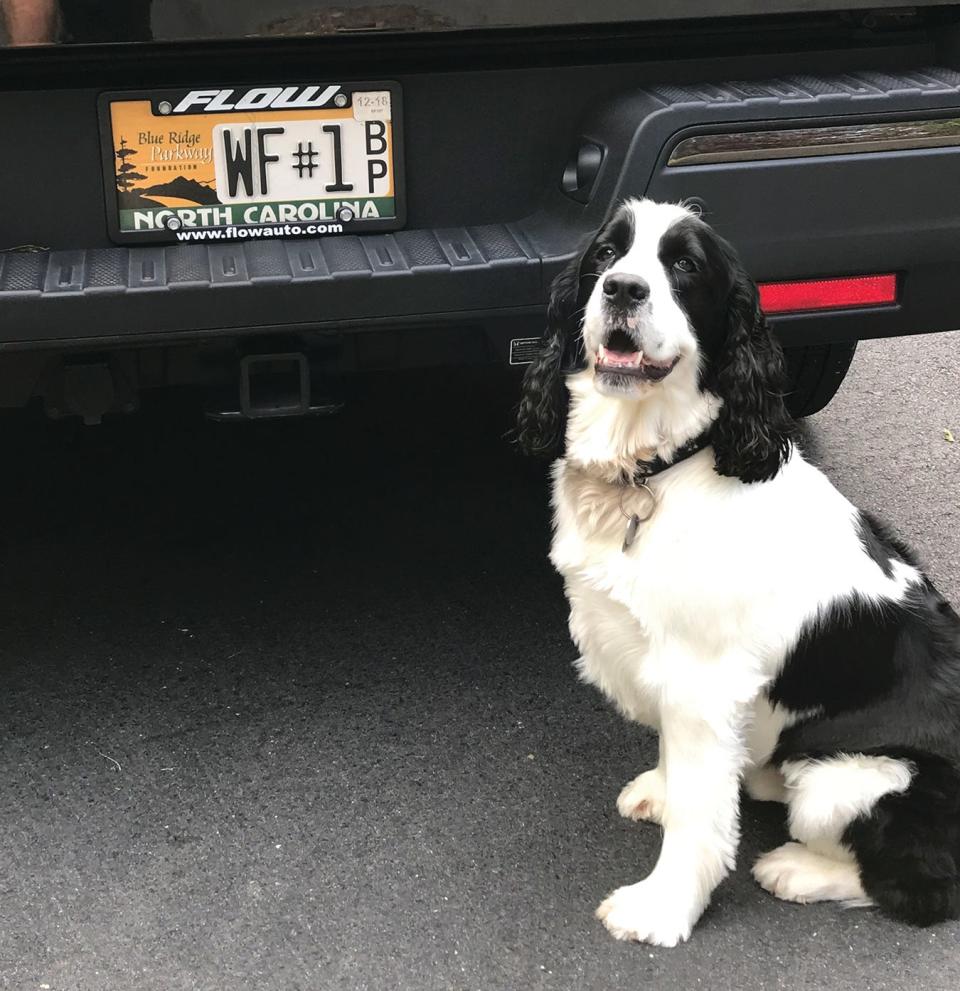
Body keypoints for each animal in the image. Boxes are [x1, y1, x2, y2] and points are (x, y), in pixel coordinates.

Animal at [516, 200, 960, 944]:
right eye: (606, 253)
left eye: (685, 266)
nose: (623, 289)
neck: (658, 468)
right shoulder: (668, 668)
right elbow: (683, 766)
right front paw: (660, 792)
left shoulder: (703, 680)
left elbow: (700, 817)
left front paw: (661, 908)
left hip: (853, 779)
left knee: (923, 884)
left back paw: (797, 869)